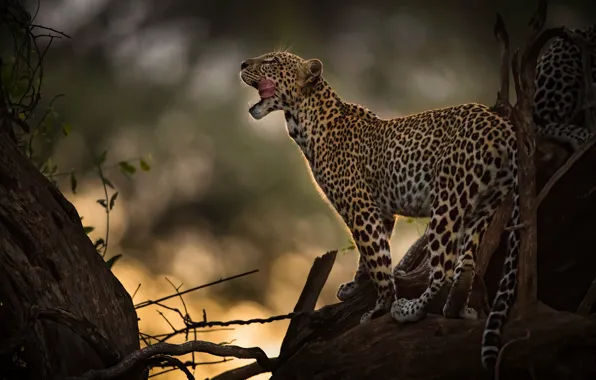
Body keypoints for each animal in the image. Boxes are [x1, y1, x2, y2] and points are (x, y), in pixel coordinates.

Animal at [241, 50, 520, 368]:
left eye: (272, 61)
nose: (243, 64)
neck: (303, 122)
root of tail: (502, 127)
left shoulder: (360, 207)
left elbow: (378, 259)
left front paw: (380, 307)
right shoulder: (382, 212)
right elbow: (372, 255)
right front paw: (355, 287)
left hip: (448, 200)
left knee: (443, 270)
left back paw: (411, 309)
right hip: (483, 206)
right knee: (467, 265)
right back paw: (456, 309)